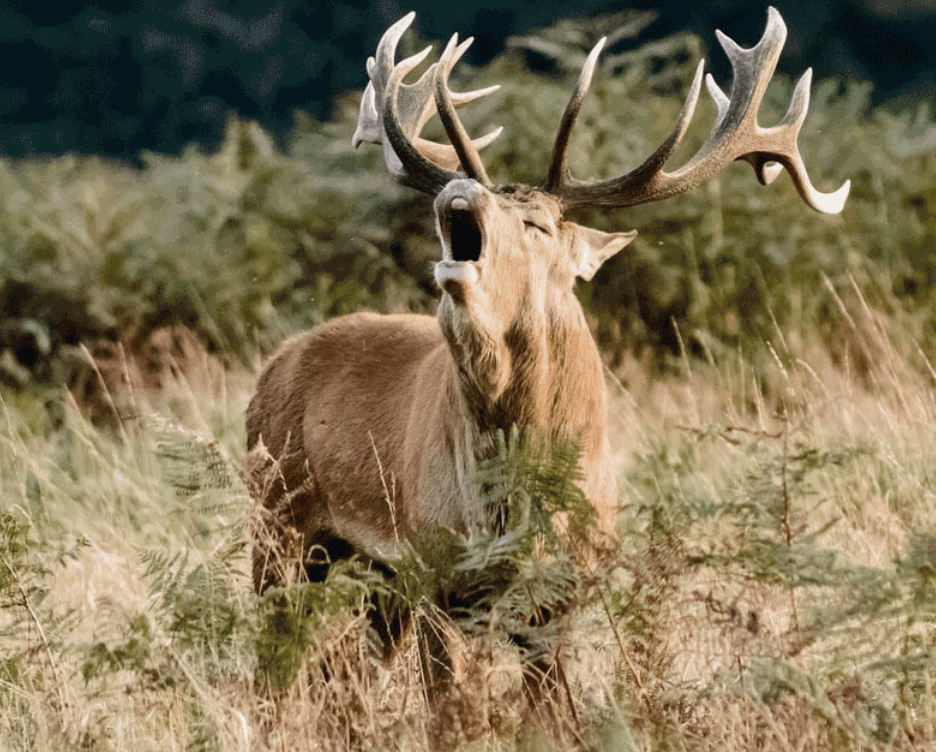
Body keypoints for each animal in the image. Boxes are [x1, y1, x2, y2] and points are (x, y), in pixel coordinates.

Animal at [244, 6, 848, 699]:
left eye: (535, 224)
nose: (457, 190)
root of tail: (272, 366)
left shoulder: (562, 592)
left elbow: (553, 711)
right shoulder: (434, 565)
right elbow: (447, 706)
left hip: (371, 576)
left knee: (337, 677)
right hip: (277, 525)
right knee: (276, 667)